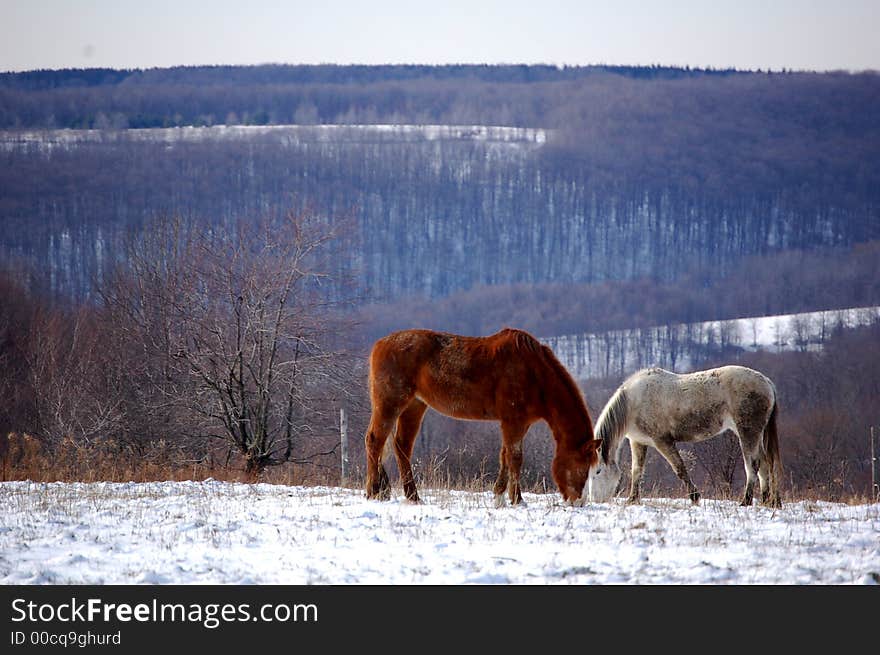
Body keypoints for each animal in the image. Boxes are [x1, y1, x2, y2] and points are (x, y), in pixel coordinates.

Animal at [360, 328, 600, 508]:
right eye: (582, 467)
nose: (578, 502)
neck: (534, 373)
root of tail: (379, 344)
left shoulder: (519, 424)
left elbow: (505, 456)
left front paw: (500, 495)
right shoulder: (513, 422)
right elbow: (515, 458)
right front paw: (517, 499)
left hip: (415, 406)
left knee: (402, 447)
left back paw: (413, 496)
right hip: (390, 404)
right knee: (374, 441)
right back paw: (374, 491)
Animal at [588, 368, 780, 508]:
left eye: (598, 471)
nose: (595, 501)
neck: (633, 402)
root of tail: (767, 383)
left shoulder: (663, 442)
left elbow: (680, 469)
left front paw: (695, 497)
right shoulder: (638, 442)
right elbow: (637, 471)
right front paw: (633, 499)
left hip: (747, 432)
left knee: (753, 465)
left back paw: (746, 501)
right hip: (756, 434)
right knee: (764, 463)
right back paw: (767, 501)